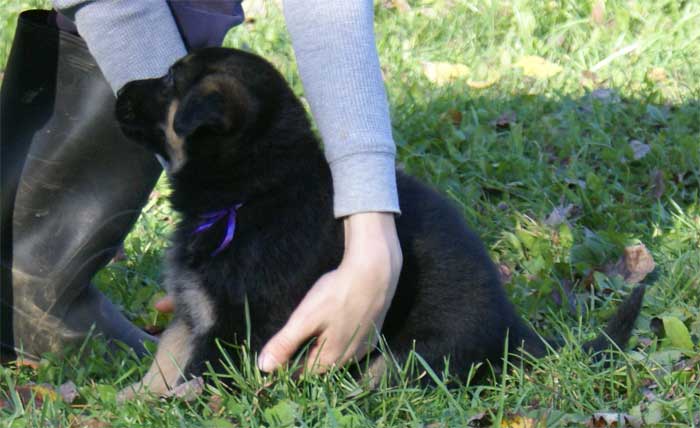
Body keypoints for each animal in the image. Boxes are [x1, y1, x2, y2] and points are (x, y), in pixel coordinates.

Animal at [115, 48, 644, 396]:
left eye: (169, 81)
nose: (119, 90)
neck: (251, 189)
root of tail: (512, 327)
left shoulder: (234, 324)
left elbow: (194, 376)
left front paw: (172, 406)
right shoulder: (194, 310)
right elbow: (166, 359)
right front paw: (135, 399)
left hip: (407, 355)